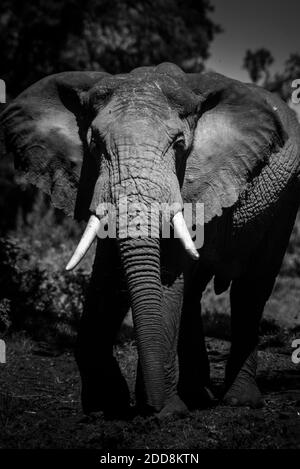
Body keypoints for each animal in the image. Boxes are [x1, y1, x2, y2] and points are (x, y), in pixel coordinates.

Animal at [0, 62, 300, 416]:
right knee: (194, 292)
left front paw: (163, 411)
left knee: (252, 289)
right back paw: (198, 396)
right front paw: (108, 404)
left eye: (180, 144)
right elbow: (108, 275)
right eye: (94, 145)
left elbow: (164, 274)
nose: (156, 409)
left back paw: (240, 401)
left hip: (285, 203)